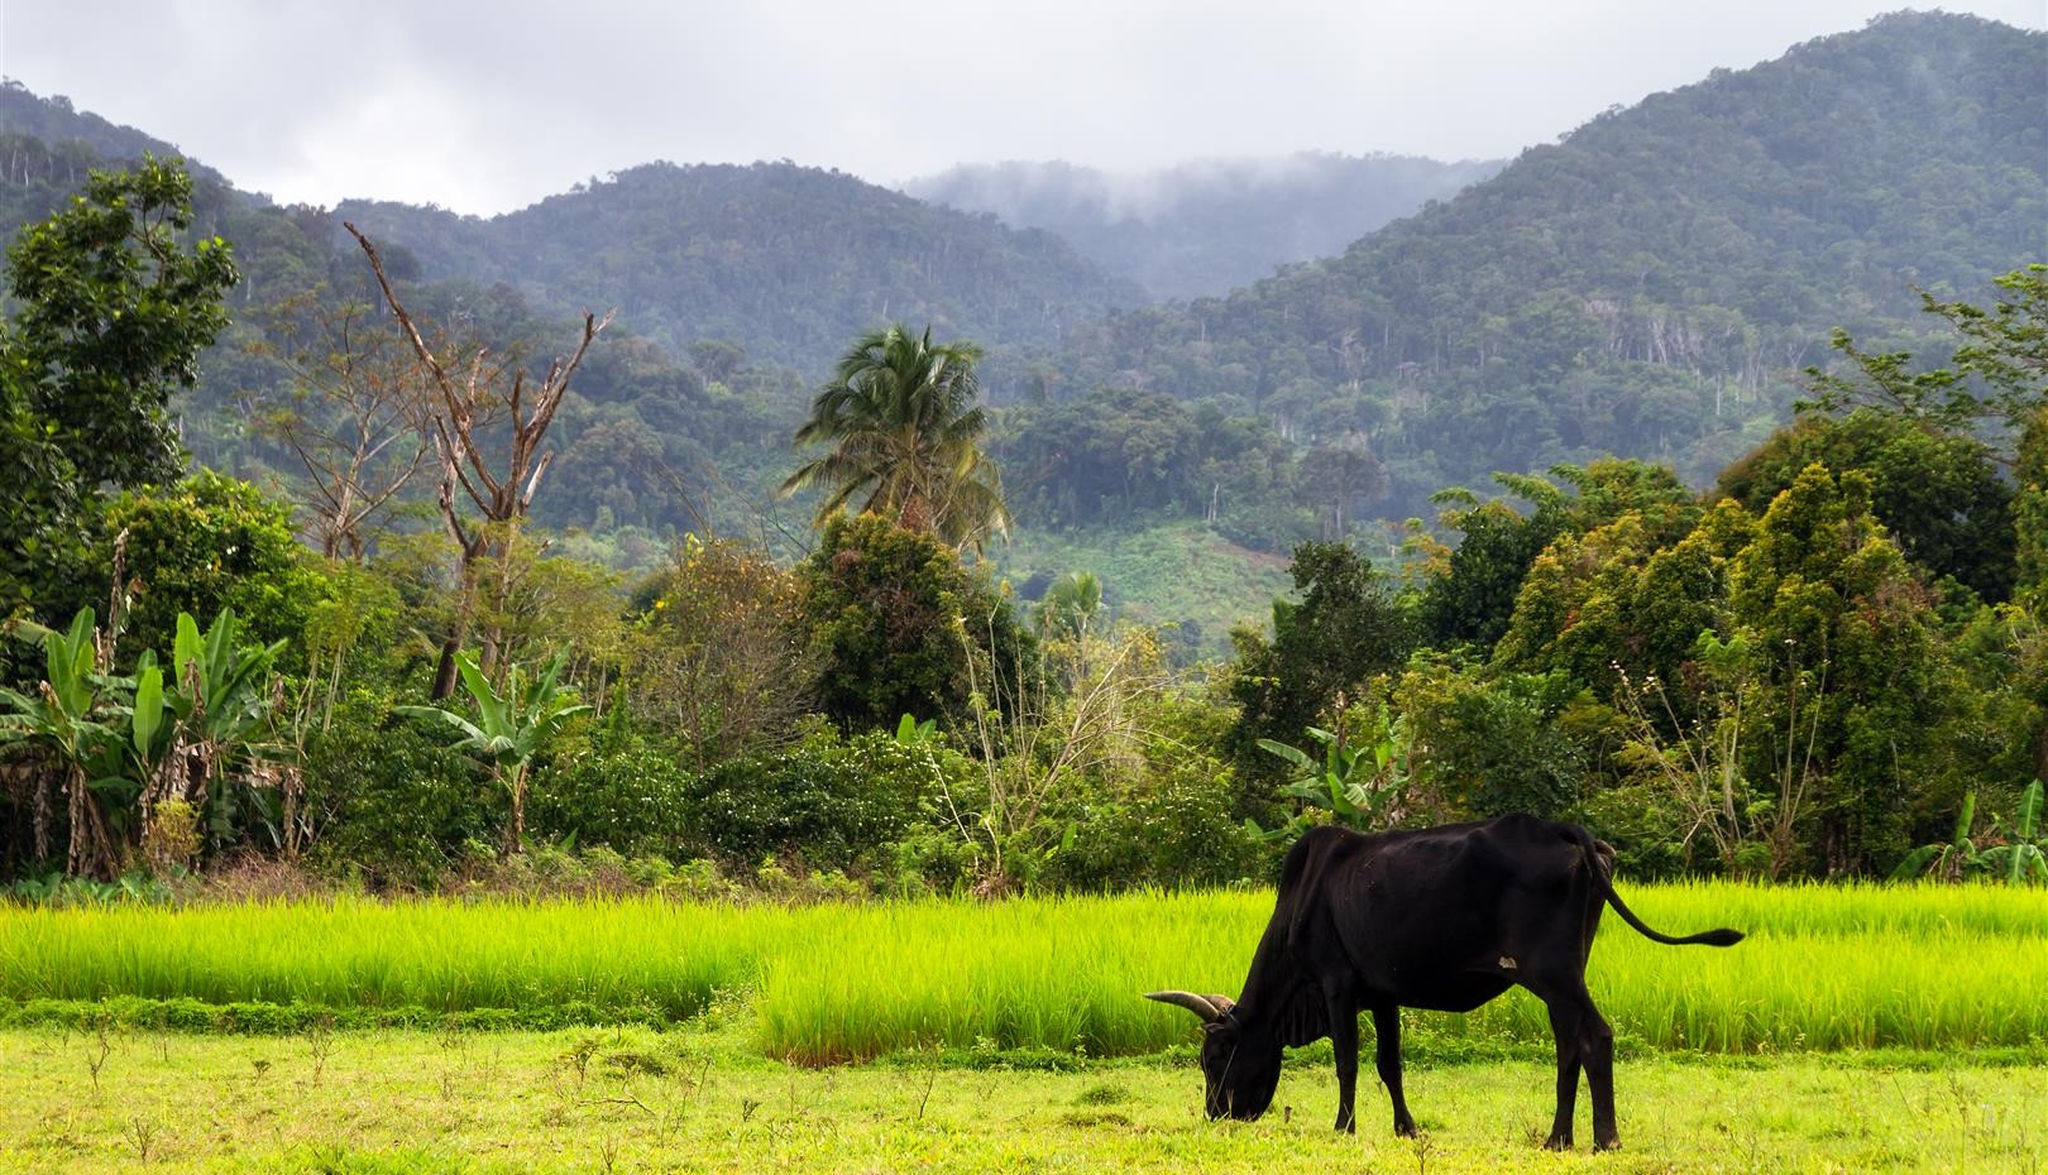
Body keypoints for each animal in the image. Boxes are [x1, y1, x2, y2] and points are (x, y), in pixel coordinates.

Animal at [1155, 814, 1744, 1154]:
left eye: (1215, 1057)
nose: (1216, 1113)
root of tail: (1562, 830)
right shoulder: (1383, 994)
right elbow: (1389, 1065)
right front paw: (1407, 1129)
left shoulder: (1336, 983)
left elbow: (1347, 1062)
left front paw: (1344, 1128)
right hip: (1563, 976)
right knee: (1569, 1046)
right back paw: (1557, 1139)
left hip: (1552, 973)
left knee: (1595, 1036)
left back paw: (1605, 1140)